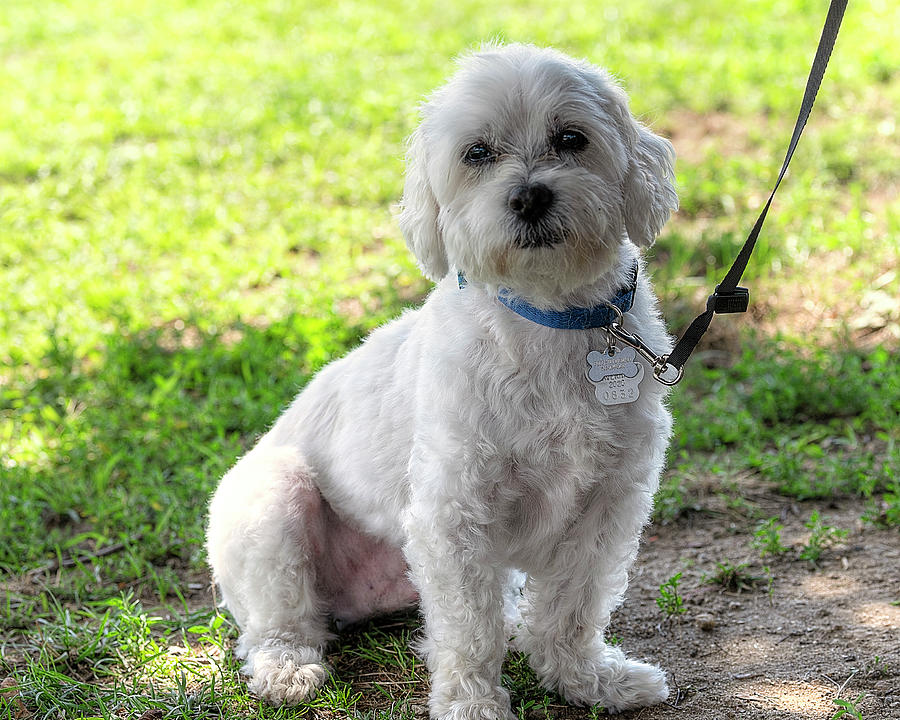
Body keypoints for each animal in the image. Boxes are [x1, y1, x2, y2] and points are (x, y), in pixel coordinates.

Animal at [207, 42, 680, 716]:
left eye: (571, 138)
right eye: (476, 153)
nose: (529, 197)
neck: (545, 317)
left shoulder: (607, 504)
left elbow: (570, 609)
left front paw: (587, 679)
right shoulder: (454, 512)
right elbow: (469, 629)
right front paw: (472, 704)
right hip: (273, 502)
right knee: (280, 623)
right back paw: (287, 668)